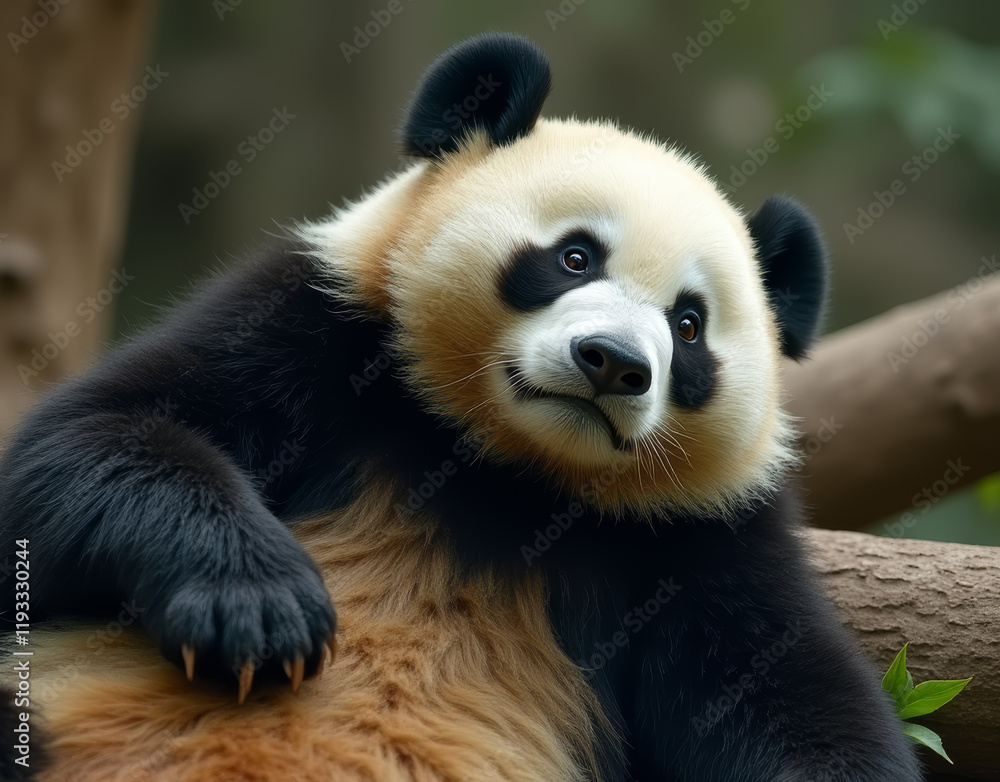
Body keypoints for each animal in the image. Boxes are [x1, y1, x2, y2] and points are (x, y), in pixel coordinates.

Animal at [0, 32, 921, 782]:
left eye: (688, 325)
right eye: (575, 256)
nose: (614, 364)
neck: (507, 468)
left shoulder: (703, 533)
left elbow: (785, 691)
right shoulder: (322, 324)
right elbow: (93, 443)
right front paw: (259, 610)